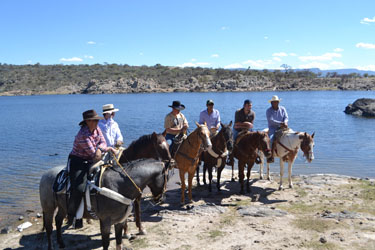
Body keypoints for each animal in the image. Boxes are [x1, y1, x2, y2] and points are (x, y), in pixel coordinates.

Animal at [39, 159, 169, 249]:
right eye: (166, 177)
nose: (161, 198)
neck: (119, 185)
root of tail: (45, 175)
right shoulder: (105, 221)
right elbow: (106, 243)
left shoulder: (120, 221)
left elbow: (118, 242)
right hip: (49, 208)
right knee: (49, 228)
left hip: (62, 207)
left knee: (58, 220)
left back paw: (61, 243)